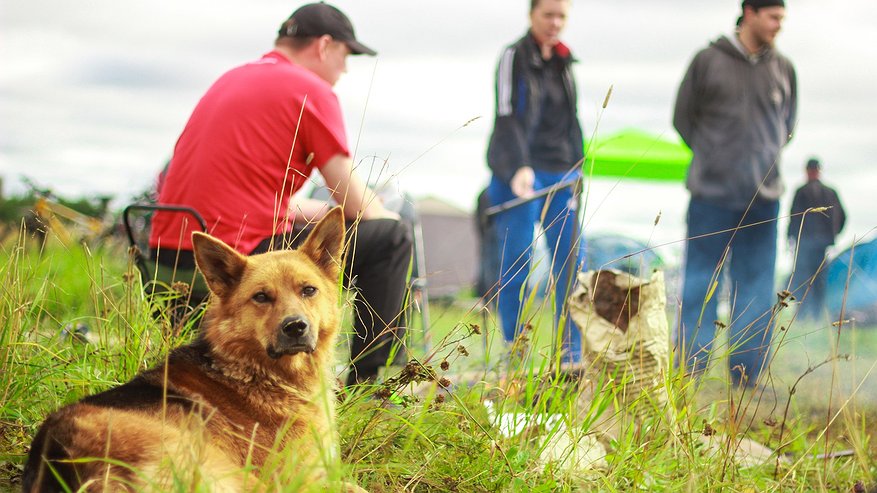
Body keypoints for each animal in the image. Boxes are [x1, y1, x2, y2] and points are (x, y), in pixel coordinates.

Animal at [24, 206, 364, 490]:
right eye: (261, 297)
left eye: (308, 290)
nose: (295, 327)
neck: (254, 371)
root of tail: (63, 459)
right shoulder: (304, 479)